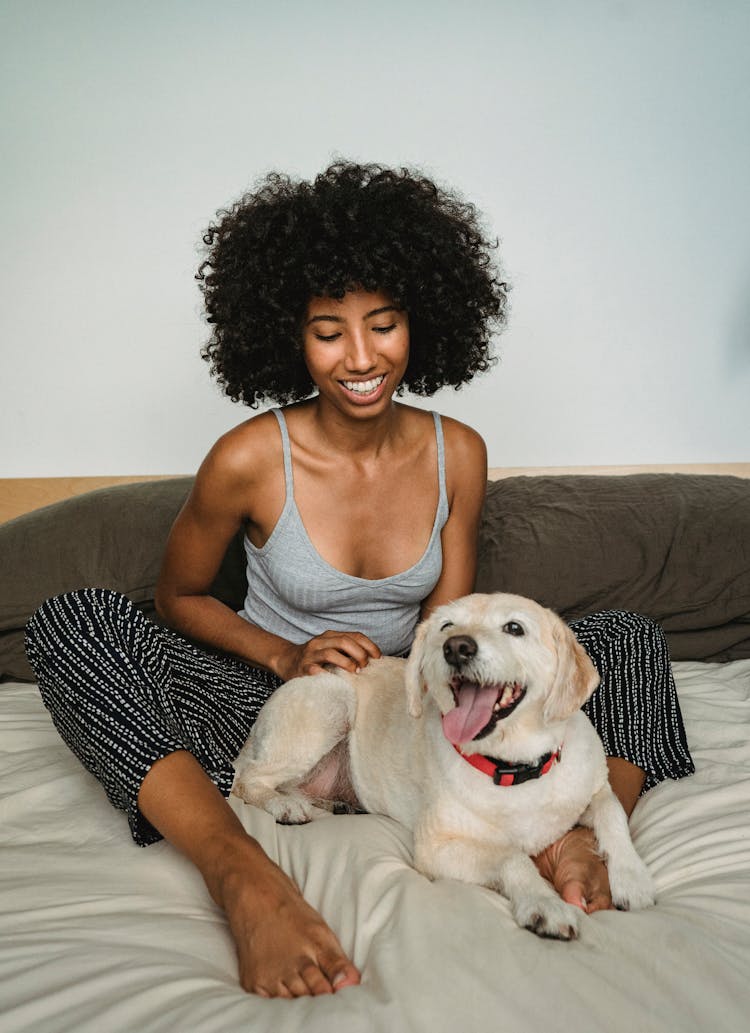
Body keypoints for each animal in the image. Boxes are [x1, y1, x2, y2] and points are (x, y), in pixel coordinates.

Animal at [232, 590, 657, 937]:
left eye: (514, 628)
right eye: (446, 626)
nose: (456, 647)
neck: (514, 767)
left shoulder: (595, 787)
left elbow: (614, 815)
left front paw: (632, 878)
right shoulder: (437, 848)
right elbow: (512, 856)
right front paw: (543, 904)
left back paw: (328, 804)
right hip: (330, 703)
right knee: (247, 782)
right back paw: (286, 806)